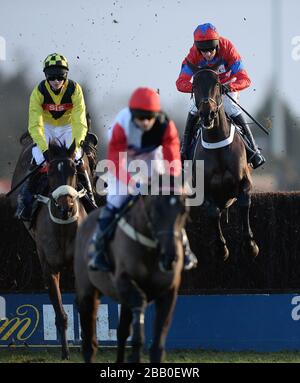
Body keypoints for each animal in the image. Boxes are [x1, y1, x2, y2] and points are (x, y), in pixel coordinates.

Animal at [8, 140, 88, 360]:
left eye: (74, 170)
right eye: (50, 171)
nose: (65, 208)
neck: (63, 228)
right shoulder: (49, 268)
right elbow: (60, 313)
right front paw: (65, 352)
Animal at [74, 182, 188, 364]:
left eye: (183, 210)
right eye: (155, 209)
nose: (170, 257)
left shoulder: (169, 292)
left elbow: (157, 343)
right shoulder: (124, 281)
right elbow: (140, 302)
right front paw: (135, 351)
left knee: (121, 332)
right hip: (88, 291)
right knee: (89, 343)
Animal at [189, 62, 258, 260]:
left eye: (218, 83)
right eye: (194, 85)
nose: (208, 114)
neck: (216, 143)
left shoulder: (245, 182)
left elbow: (244, 202)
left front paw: (250, 245)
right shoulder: (203, 191)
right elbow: (213, 213)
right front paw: (221, 248)